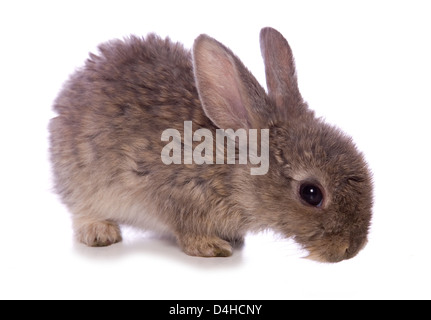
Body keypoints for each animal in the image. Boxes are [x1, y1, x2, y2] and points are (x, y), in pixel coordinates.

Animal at [49, 27, 374, 262]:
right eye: (311, 194)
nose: (350, 250)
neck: (232, 169)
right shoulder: (177, 196)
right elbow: (187, 230)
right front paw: (211, 247)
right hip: (81, 181)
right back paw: (100, 232)